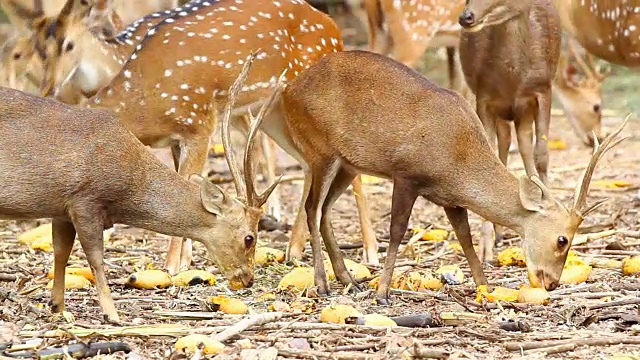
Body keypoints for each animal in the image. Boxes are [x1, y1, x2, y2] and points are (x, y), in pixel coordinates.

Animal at [0, 54, 280, 322]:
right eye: (249, 238)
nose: (248, 279)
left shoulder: (61, 208)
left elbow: (61, 252)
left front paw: (57, 306)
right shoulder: (86, 199)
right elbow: (96, 258)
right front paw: (112, 314)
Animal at [31, 0, 380, 272]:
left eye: (68, 46)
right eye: (39, 50)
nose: (48, 88)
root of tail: (332, 27)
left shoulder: (199, 122)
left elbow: (186, 186)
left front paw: (172, 267)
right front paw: (185, 261)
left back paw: (370, 252)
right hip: (273, 109)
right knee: (308, 163)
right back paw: (293, 251)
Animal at [268, 49, 628, 302]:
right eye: (562, 239)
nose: (551, 283)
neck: (457, 161)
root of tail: (288, 90)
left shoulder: (449, 198)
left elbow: (465, 236)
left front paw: (485, 286)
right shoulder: (406, 174)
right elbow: (397, 231)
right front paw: (382, 292)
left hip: (347, 163)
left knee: (325, 210)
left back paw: (349, 281)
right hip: (319, 150)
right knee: (312, 208)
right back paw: (323, 285)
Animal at [458, 0, 564, 262]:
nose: (466, 17)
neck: (513, 78)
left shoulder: (542, 90)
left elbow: (542, 154)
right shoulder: (484, 97)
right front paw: (485, 247)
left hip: (523, 111)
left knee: (524, 146)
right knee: (506, 144)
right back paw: (498, 233)